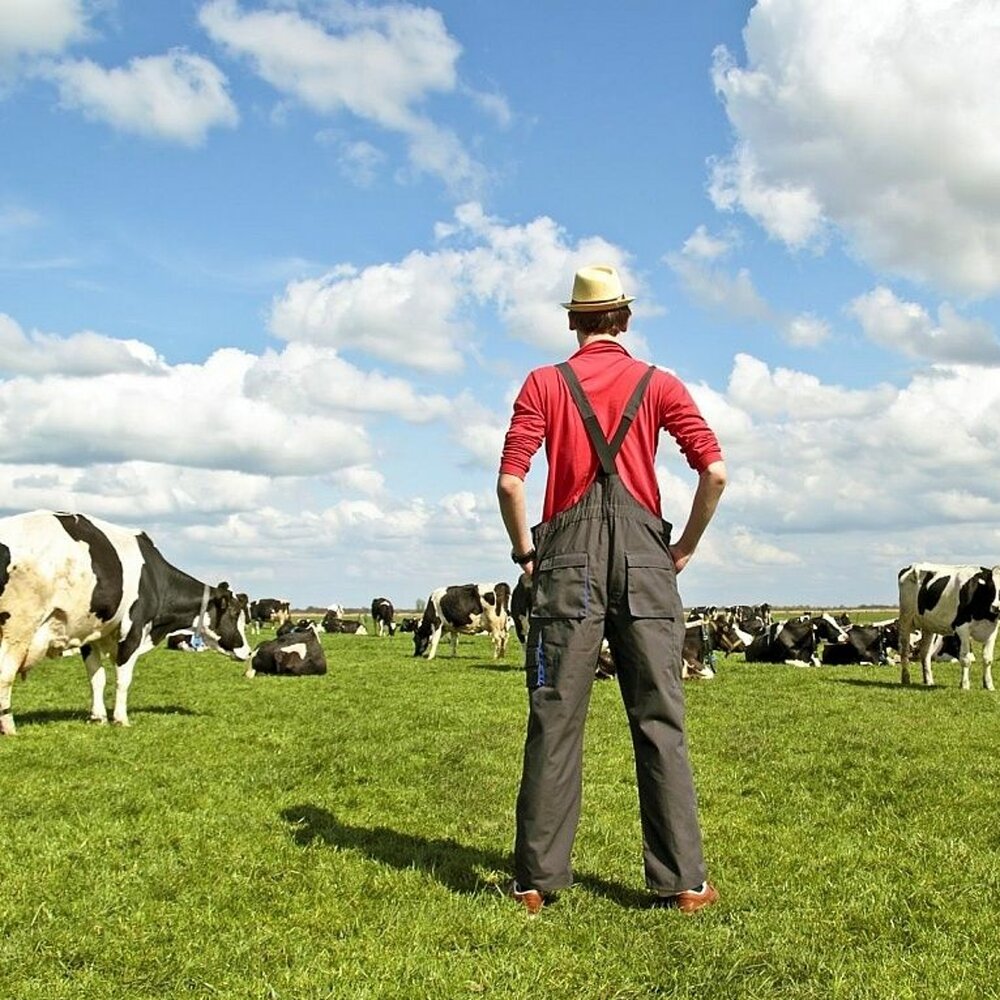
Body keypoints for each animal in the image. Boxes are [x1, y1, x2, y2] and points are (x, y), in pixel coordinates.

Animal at [0, 508, 250, 736]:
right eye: (235, 614)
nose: (248, 652)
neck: (155, 579)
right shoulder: (133, 630)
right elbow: (123, 679)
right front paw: (120, 719)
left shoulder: (91, 633)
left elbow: (97, 678)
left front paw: (98, 717)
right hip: (18, 629)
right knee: (5, 674)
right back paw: (9, 728)